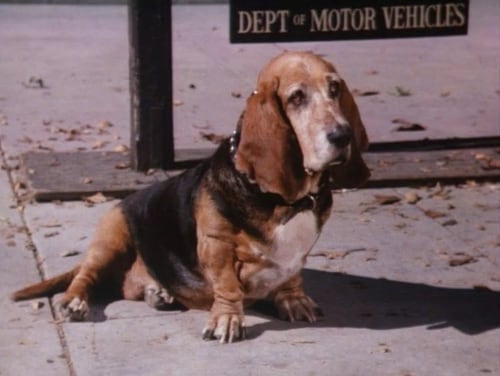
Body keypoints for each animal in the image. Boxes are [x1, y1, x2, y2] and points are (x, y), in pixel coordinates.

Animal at [12, 52, 372, 344]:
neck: (285, 201)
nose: (342, 135)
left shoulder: (299, 251)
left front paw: (294, 300)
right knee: (85, 276)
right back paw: (75, 301)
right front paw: (227, 320)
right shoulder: (216, 243)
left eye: (334, 89)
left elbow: (292, 275)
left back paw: (159, 292)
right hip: (111, 237)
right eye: (296, 97)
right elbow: (227, 286)